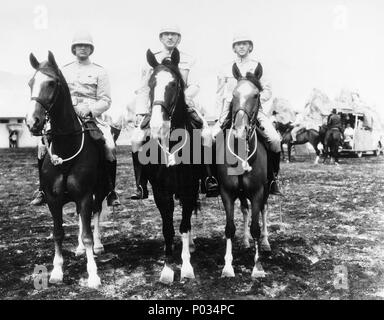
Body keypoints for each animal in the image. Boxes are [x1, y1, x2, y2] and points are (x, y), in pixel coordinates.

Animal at [26, 52, 108, 288]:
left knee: (95, 214)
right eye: (31, 83)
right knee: (81, 218)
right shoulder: (53, 200)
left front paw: (93, 275)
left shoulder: (85, 195)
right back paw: (79, 248)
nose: (32, 122)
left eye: (52, 83)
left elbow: (88, 232)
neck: (66, 147)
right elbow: (58, 233)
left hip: (99, 192)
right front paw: (56, 272)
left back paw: (97, 246)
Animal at [140, 47, 201, 282]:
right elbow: (168, 228)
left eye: (174, 84)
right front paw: (167, 268)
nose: (158, 125)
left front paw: (187, 267)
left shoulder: (189, 189)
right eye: (151, 83)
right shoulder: (161, 191)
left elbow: (184, 226)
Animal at [216, 62, 270, 278]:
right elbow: (229, 228)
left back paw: (266, 242)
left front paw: (257, 267)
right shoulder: (227, 192)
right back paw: (246, 240)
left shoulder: (257, 192)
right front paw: (228, 266)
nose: (239, 131)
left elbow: (256, 226)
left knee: (263, 210)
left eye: (256, 95)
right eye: (234, 94)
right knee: (245, 211)